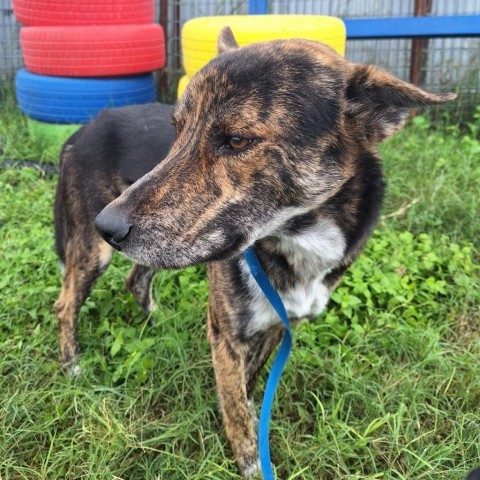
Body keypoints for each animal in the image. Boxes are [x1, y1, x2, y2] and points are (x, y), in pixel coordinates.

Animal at [55, 28, 454, 478]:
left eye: (236, 140)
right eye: (177, 131)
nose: (107, 226)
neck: (296, 241)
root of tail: (82, 130)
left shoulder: (280, 325)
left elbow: (247, 385)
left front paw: (248, 409)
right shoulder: (227, 335)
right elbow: (234, 406)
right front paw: (250, 458)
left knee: (135, 278)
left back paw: (156, 321)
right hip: (92, 254)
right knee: (65, 305)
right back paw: (72, 365)